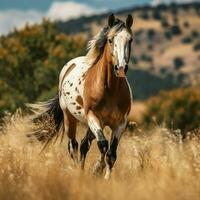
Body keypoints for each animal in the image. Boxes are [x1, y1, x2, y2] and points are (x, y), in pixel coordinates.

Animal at [28, 14, 134, 180]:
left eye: (130, 40)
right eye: (111, 40)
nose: (121, 68)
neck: (110, 89)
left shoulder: (120, 123)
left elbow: (111, 153)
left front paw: (104, 175)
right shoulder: (93, 117)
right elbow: (103, 145)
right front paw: (98, 170)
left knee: (85, 144)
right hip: (70, 119)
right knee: (74, 145)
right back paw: (78, 170)